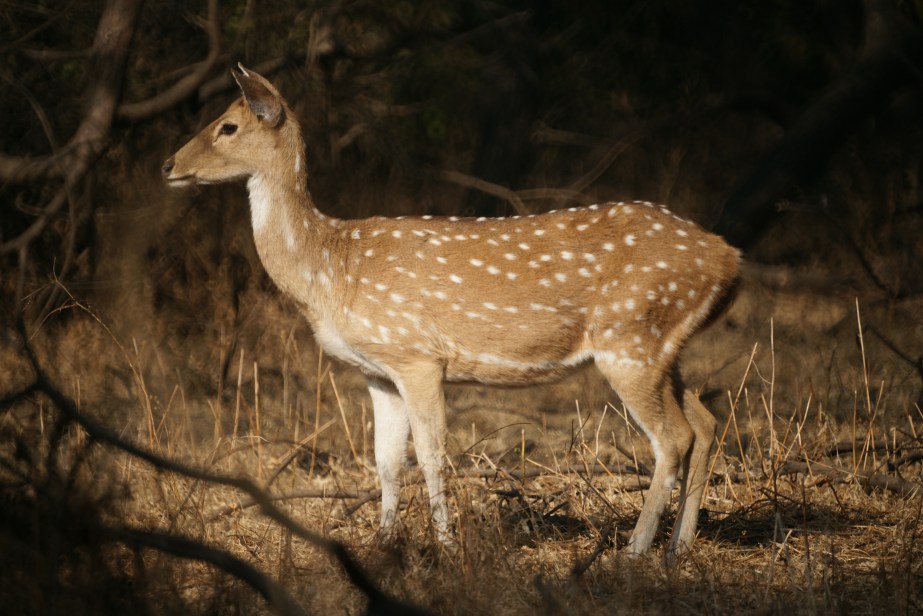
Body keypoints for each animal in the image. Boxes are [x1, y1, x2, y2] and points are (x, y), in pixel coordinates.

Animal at [162, 65, 741, 563]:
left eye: (228, 125)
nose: (168, 166)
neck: (329, 268)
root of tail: (729, 258)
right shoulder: (379, 372)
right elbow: (387, 462)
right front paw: (384, 544)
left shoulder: (418, 355)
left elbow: (432, 456)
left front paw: (444, 549)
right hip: (661, 346)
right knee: (706, 421)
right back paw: (678, 547)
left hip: (630, 339)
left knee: (673, 437)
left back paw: (636, 551)